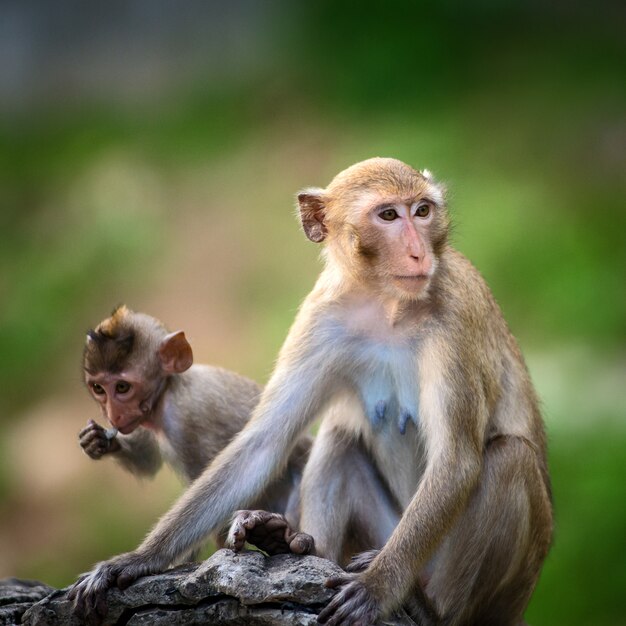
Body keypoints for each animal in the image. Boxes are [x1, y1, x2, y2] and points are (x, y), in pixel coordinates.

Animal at [79, 304, 310, 548]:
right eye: (98, 388)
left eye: (122, 387)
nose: (112, 414)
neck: (170, 390)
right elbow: (148, 461)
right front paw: (97, 440)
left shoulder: (187, 423)